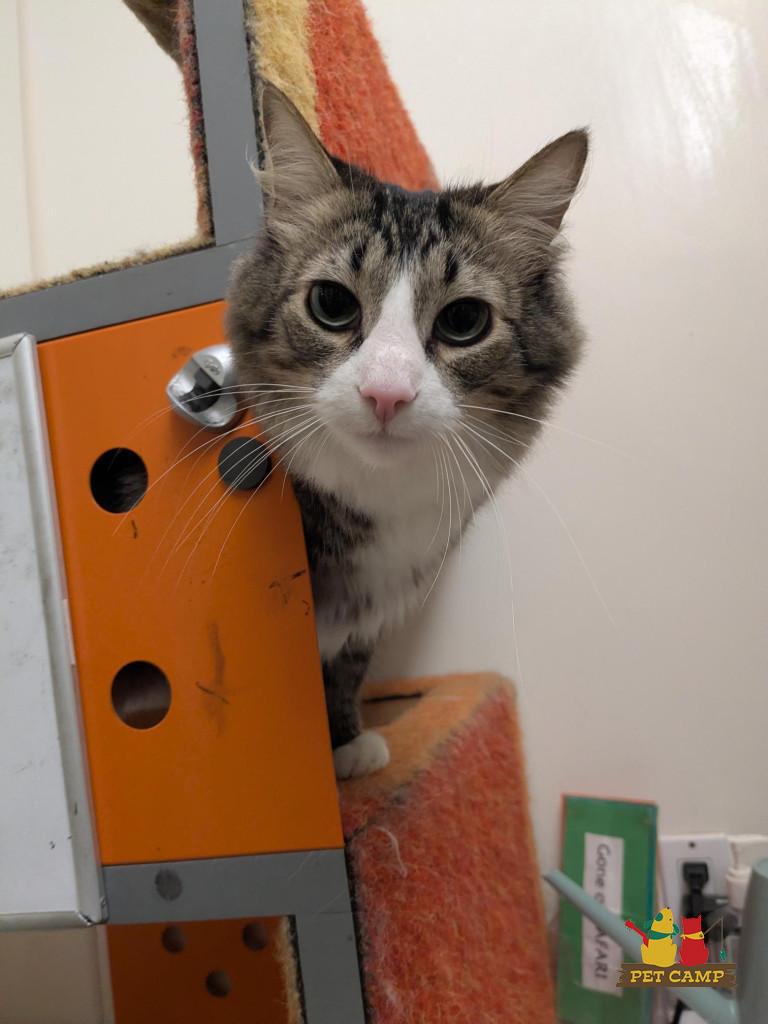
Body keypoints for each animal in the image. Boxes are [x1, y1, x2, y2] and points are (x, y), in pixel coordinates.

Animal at [226, 84, 588, 779]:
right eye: (332, 305)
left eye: (465, 321)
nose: (386, 393)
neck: (379, 500)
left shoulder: (368, 615)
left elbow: (346, 666)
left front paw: (344, 741)